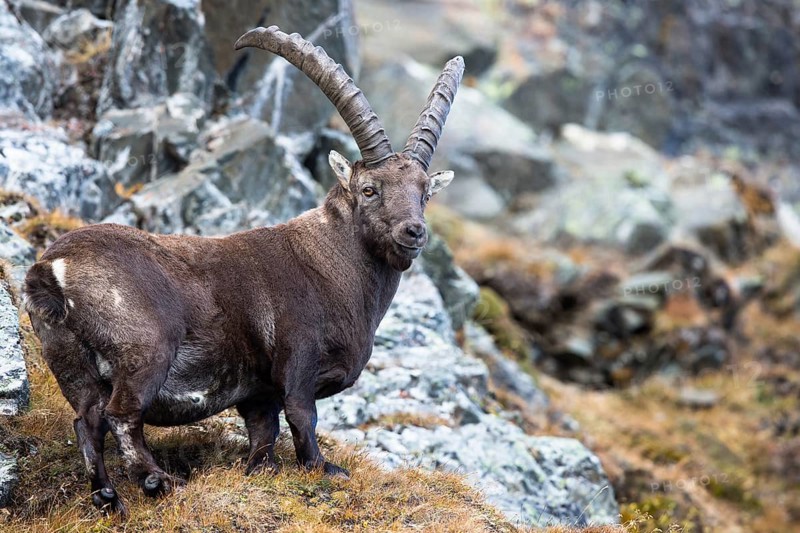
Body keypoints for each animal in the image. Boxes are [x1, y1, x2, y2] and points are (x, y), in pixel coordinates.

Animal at [23, 26, 463, 514]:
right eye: (369, 189)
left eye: (425, 193)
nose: (414, 231)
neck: (333, 266)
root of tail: (52, 270)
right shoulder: (297, 360)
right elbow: (303, 418)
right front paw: (324, 468)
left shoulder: (259, 391)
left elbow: (263, 433)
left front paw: (261, 469)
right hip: (145, 349)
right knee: (121, 415)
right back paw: (157, 480)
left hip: (70, 361)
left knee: (87, 421)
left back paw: (107, 498)